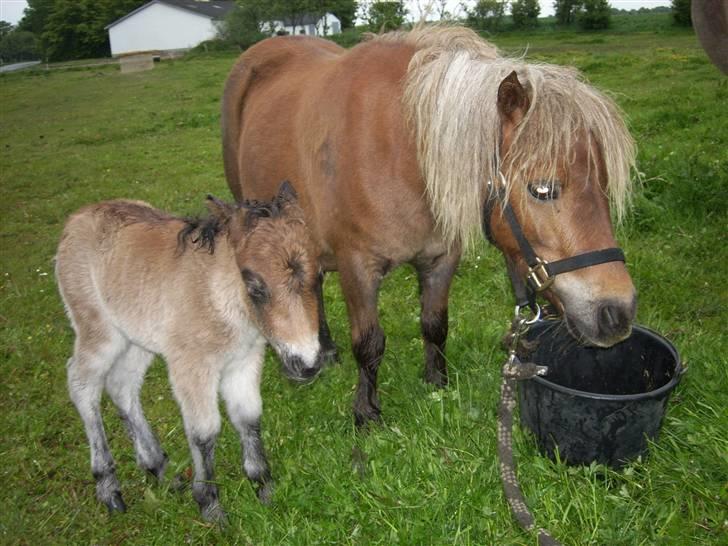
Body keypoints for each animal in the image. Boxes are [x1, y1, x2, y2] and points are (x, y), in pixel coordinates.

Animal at [54, 182, 322, 520]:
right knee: (82, 383)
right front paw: (210, 505)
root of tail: (77, 217)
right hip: (98, 329)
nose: (308, 364)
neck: (222, 299)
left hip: (137, 337)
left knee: (121, 385)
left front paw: (264, 487)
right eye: (254, 286)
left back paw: (159, 469)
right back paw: (109, 488)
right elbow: (204, 432)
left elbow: (248, 417)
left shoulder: (244, 360)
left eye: (320, 276)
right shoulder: (191, 366)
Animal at [222, 25, 636, 424]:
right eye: (543, 189)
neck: (398, 152)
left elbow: (435, 324)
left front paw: (437, 382)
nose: (618, 312)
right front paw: (366, 412)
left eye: (604, 184)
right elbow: (369, 342)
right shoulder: (358, 266)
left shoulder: (440, 257)